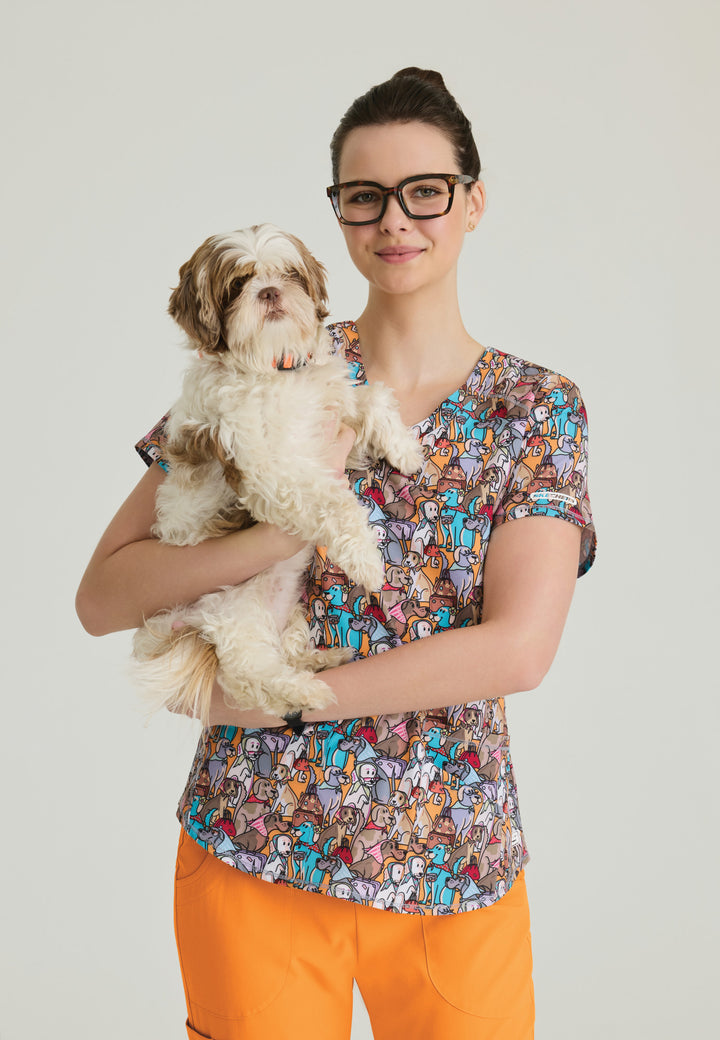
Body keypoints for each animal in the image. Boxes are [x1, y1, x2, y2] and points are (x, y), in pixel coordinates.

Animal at [133, 224, 422, 725]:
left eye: (289, 273)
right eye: (236, 284)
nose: (269, 291)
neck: (275, 369)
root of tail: (184, 624)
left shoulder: (335, 428)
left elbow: (373, 399)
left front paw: (405, 450)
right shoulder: (272, 471)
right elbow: (335, 503)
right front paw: (366, 561)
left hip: (289, 609)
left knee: (285, 647)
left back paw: (322, 660)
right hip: (235, 616)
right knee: (251, 677)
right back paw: (306, 692)